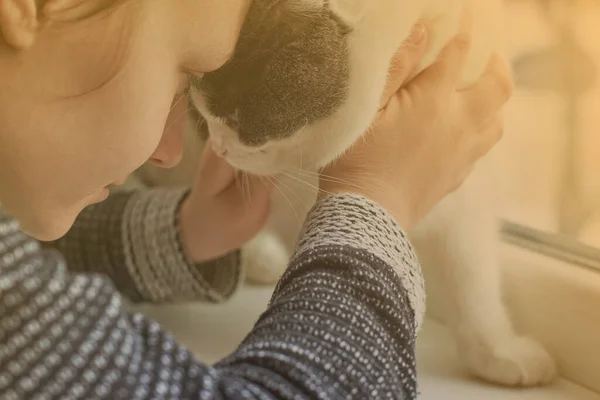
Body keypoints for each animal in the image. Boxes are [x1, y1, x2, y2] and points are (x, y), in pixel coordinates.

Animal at [136, 0, 556, 388]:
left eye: (238, 120)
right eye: (202, 112)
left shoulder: (469, 186)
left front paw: (495, 350)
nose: (219, 148)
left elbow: (472, 275)